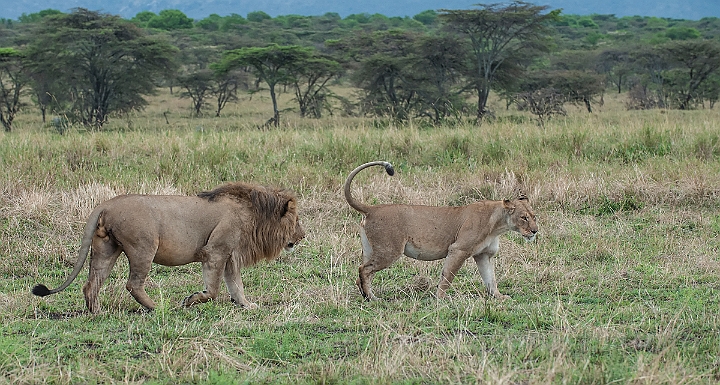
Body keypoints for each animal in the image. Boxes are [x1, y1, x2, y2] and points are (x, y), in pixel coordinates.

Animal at [31, 182, 304, 312]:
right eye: (297, 220)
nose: (303, 236)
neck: (255, 215)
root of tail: (106, 204)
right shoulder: (215, 251)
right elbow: (214, 290)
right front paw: (190, 300)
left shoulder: (229, 255)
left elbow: (236, 285)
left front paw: (247, 305)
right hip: (143, 247)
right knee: (133, 284)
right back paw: (158, 308)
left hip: (106, 248)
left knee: (91, 284)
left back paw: (97, 312)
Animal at [344, 160, 540, 300]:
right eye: (524, 217)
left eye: (534, 216)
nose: (535, 231)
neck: (497, 225)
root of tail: (372, 208)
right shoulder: (458, 249)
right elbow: (447, 276)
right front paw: (440, 298)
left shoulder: (483, 255)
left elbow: (490, 279)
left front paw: (499, 297)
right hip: (389, 251)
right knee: (363, 270)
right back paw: (371, 298)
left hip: (371, 250)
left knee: (361, 273)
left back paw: (366, 296)